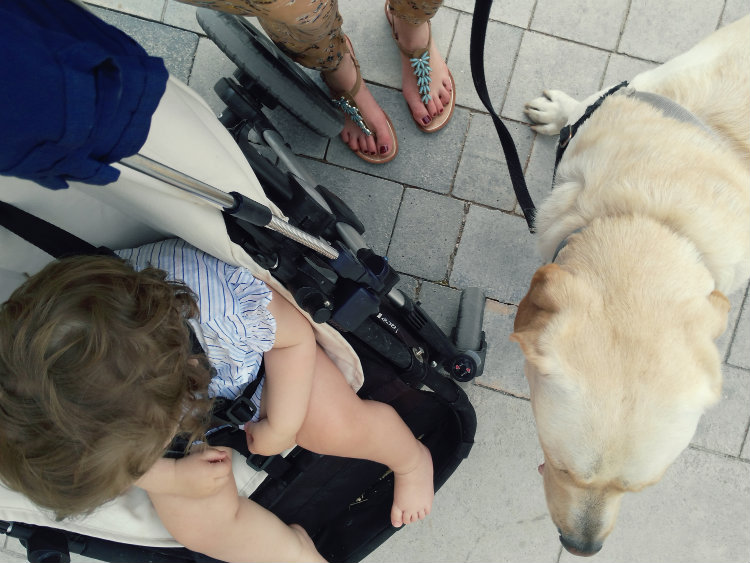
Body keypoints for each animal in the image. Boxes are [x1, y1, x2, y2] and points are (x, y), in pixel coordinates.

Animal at [512, 15, 750, 556]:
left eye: (640, 488)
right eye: (563, 467)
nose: (581, 548)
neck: (650, 211)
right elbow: (577, 110)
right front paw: (559, 110)